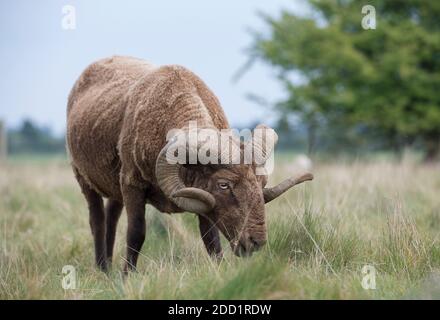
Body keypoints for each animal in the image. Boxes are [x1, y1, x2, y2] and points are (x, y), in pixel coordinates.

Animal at [66, 56, 312, 272]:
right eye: (223, 185)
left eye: (262, 183)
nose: (256, 242)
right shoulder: (132, 183)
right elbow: (136, 233)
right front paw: (127, 277)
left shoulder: (201, 198)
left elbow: (211, 239)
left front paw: (220, 273)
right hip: (84, 177)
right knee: (97, 220)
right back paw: (102, 269)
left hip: (113, 183)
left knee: (112, 216)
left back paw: (107, 267)